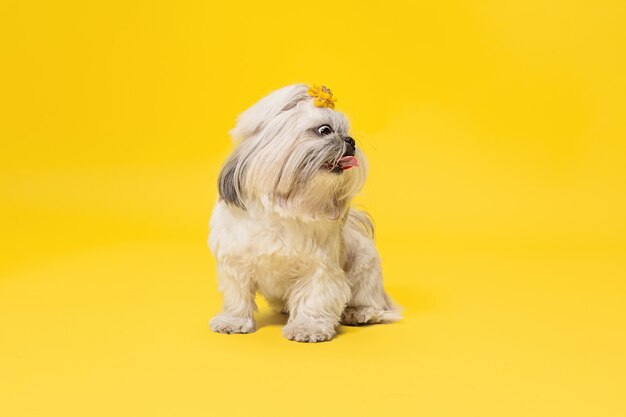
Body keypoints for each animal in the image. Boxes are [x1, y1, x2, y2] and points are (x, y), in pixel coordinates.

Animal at [207, 84, 398, 342]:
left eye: (347, 133)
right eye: (325, 130)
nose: (350, 140)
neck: (282, 212)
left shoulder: (318, 269)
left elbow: (313, 298)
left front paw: (308, 328)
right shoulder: (235, 263)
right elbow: (238, 296)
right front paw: (232, 321)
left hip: (364, 271)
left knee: (371, 303)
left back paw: (359, 313)